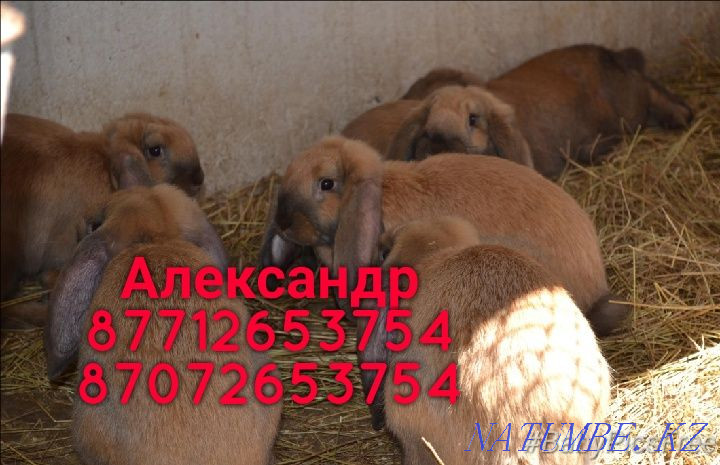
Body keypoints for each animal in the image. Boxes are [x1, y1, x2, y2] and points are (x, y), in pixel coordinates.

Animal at [391, 44, 693, 178]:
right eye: (425, 121)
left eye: (473, 120)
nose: (436, 146)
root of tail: (614, 54)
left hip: (629, 104)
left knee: (649, 90)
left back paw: (683, 117)